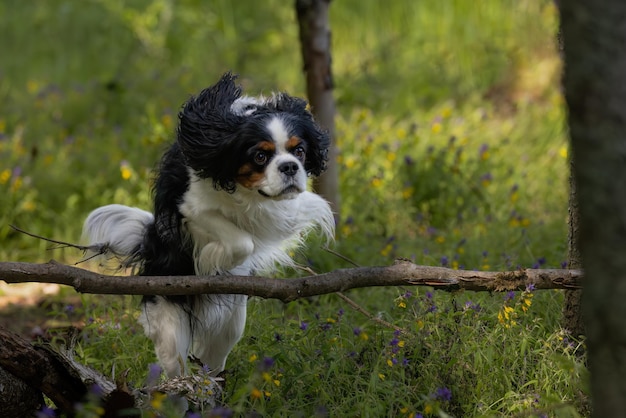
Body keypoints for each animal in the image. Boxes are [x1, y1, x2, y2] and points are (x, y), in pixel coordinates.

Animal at [86, 72, 336, 378]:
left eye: (299, 151)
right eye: (260, 157)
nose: (289, 167)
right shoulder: (191, 207)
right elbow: (240, 241)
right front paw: (214, 261)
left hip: (231, 323)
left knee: (212, 360)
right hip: (170, 321)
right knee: (176, 369)